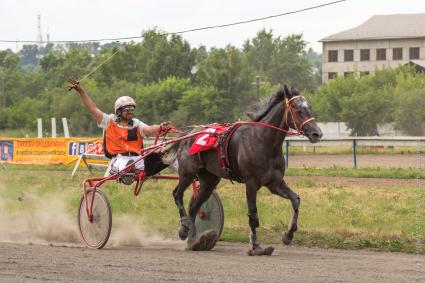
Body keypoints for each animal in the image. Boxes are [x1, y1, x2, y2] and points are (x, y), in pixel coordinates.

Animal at [162, 85, 322, 256]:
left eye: (309, 108)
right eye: (298, 110)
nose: (317, 133)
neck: (264, 142)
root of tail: (188, 134)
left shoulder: (275, 183)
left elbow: (295, 200)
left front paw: (288, 235)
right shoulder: (251, 183)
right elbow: (253, 214)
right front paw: (256, 247)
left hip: (209, 180)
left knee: (194, 206)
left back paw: (193, 240)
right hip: (187, 173)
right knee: (177, 194)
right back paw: (184, 229)